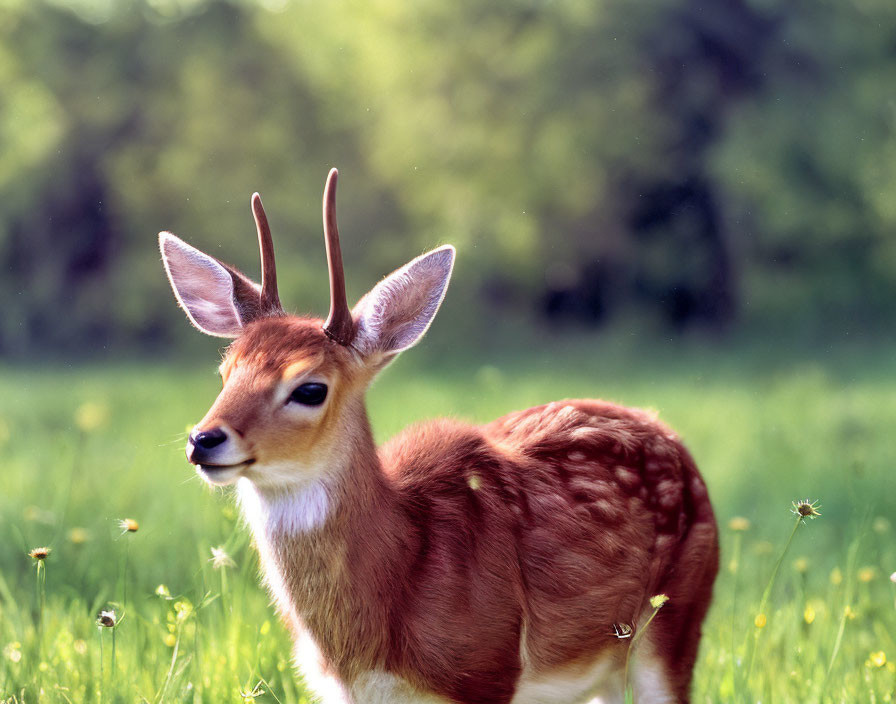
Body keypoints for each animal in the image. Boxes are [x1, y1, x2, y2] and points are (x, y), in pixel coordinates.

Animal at [158, 170, 716, 704]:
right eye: (225, 373)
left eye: (310, 388)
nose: (204, 440)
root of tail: (666, 430)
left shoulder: (487, 670)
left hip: (675, 622)